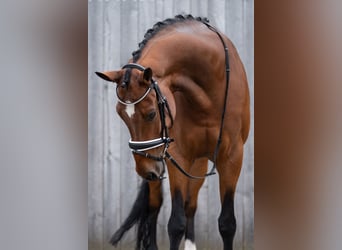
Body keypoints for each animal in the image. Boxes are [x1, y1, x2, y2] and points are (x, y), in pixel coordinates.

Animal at [95, 14, 250, 250]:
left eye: (151, 114)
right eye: (120, 114)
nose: (146, 171)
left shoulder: (232, 157)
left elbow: (227, 223)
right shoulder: (178, 156)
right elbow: (175, 223)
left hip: (196, 161)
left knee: (190, 204)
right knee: (154, 205)